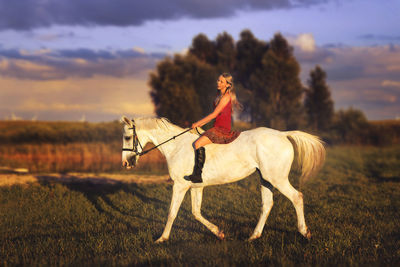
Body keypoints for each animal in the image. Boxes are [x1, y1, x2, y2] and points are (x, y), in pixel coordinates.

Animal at [121, 116, 324, 244]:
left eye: (127, 137)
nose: (125, 163)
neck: (176, 147)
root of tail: (282, 134)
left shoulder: (180, 186)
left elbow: (172, 212)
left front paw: (161, 238)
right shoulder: (196, 186)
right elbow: (196, 212)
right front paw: (219, 233)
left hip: (277, 178)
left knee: (297, 197)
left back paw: (305, 232)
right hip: (265, 179)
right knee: (267, 205)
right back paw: (253, 236)